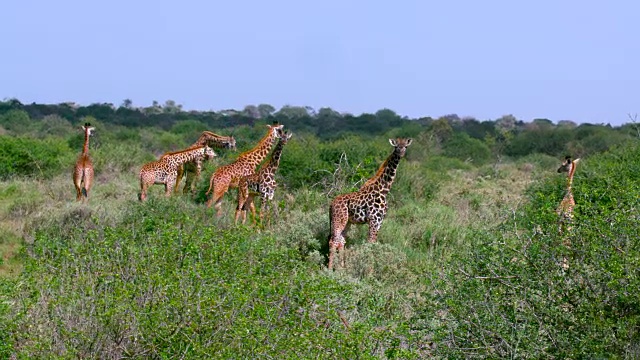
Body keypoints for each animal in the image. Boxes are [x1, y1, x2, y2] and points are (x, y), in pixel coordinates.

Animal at [328, 138, 412, 270]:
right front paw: (370, 271)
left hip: (347, 222)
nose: (401, 153)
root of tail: (331, 205)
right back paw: (329, 270)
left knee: (341, 241)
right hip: (338, 219)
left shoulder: (380, 221)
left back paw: (341, 269)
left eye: (406, 146)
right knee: (333, 241)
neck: (383, 190)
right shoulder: (373, 219)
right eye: (396, 146)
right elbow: (371, 243)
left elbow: (374, 243)